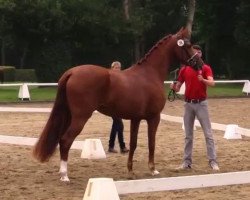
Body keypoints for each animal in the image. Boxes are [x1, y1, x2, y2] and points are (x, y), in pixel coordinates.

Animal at [32, 27, 203, 182]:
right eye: (188, 45)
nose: (200, 64)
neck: (150, 74)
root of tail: (72, 72)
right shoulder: (154, 117)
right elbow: (151, 143)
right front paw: (153, 170)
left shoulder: (136, 118)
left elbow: (133, 144)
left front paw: (130, 171)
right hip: (81, 117)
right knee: (65, 140)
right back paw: (64, 175)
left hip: (69, 115)